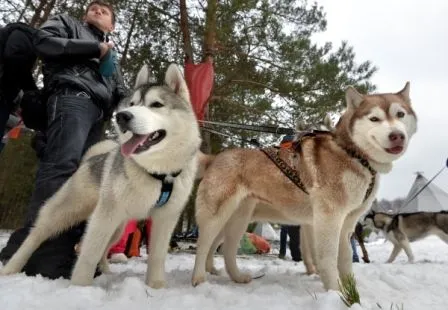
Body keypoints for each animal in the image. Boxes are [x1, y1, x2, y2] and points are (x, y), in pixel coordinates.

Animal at [192, 83, 416, 290]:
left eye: (400, 114)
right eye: (374, 119)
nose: (397, 135)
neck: (352, 153)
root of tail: (216, 157)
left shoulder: (344, 224)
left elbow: (344, 260)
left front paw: (351, 292)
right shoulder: (327, 219)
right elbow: (326, 258)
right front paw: (335, 291)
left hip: (238, 219)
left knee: (227, 249)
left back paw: (235, 276)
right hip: (216, 216)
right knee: (203, 245)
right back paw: (199, 278)